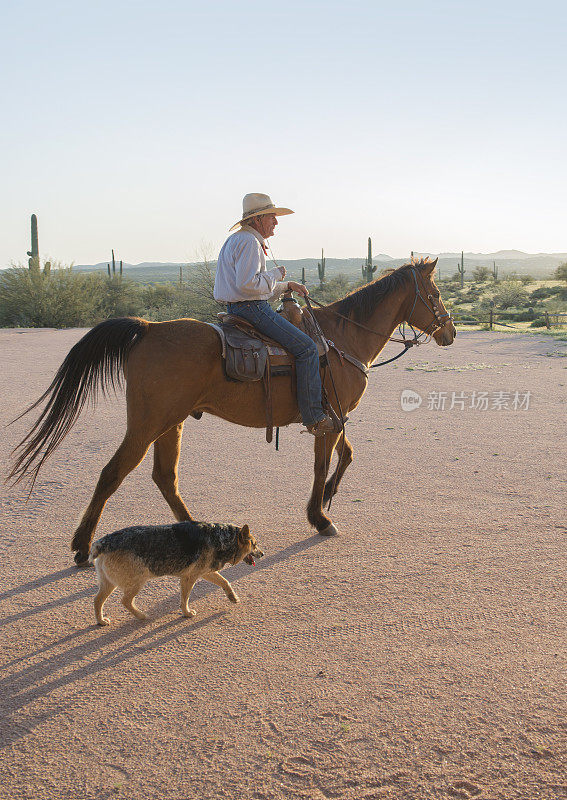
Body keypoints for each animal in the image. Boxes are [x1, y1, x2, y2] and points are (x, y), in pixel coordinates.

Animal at [8, 256, 458, 564]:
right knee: (112, 474)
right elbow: (323, 464)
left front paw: (329, 497)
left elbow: (347, 455)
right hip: (147, 424)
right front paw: (319, 517)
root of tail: (148, 328)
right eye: (435, 295)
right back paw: (82, 547)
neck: (339, 338)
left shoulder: (334, 417)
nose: (451, 331)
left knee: (164, 477)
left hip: (170, 424)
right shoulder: (325, 421)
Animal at [89, 520, 264, 624]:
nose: (263, 554)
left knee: (97, 601)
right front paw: (186, 613)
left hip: (109, 584)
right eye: (255, 545)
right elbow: (184, 599)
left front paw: (232, 597)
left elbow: (225, 582)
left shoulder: (205, 572)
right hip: (138, 581)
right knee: (125, 601)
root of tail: (103, 542)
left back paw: (101, 620)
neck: (223, 538)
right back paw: (141, 615)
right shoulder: (190, 577)